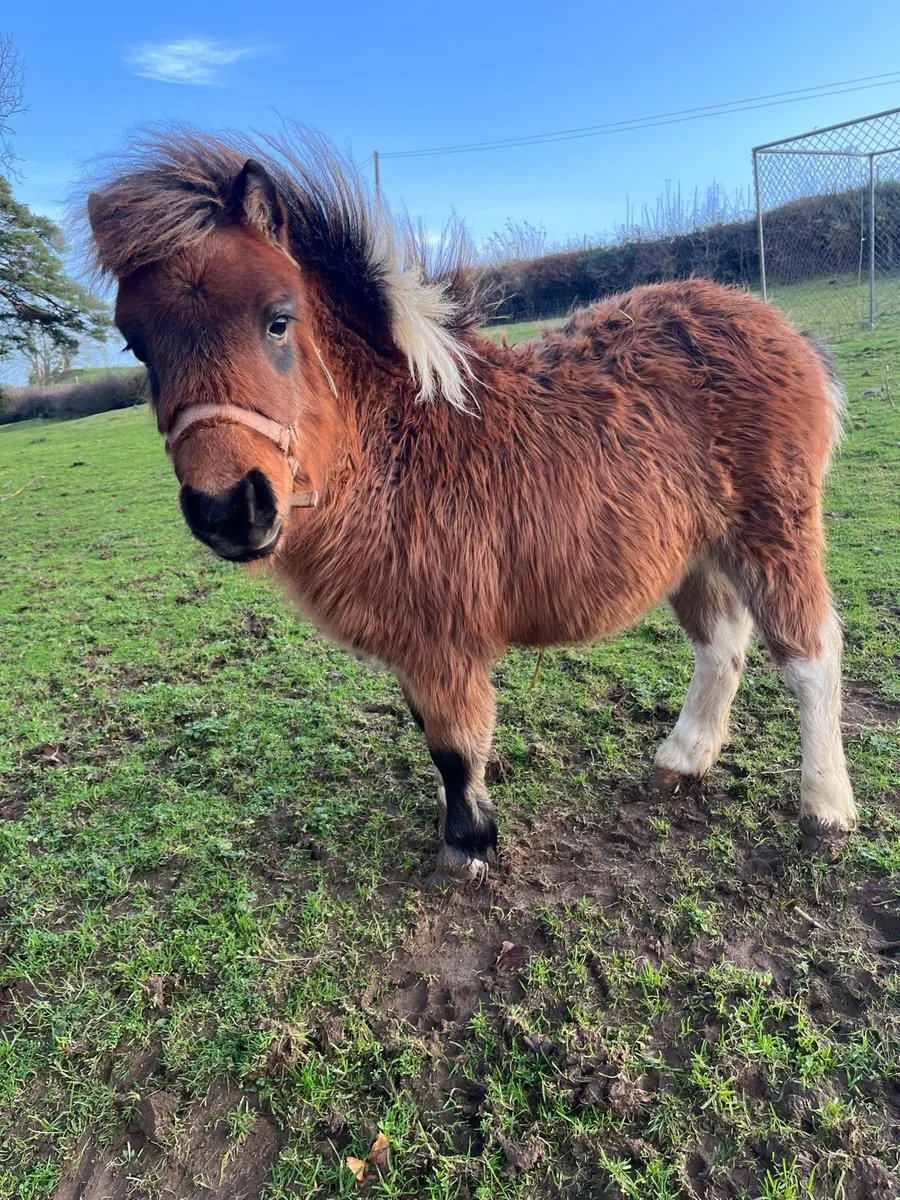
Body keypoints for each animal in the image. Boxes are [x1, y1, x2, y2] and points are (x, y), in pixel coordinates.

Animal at [85, 128, 857, 884]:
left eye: (278, 321)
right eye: (137, 346)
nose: (229, 508)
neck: (399, 446)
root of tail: (783, 329)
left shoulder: (442, 637)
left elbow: (454, 745)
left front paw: (467, 843)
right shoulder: (410, 639)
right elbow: (432, 733)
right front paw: (462, 816)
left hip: (774, 530)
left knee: (810, 654)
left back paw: (825, 811)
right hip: (696, 549)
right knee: (721, 645)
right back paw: (683, 759)